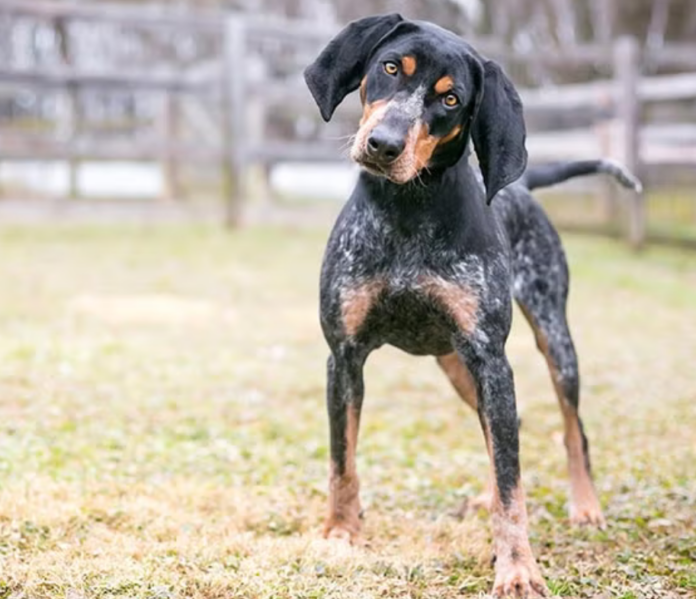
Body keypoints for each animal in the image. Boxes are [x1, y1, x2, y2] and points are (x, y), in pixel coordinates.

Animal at [304, 15, 640, 599]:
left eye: (451, 99)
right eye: (389, 67)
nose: (383, 144)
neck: (407, 210)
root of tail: (524, 185)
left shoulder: (491, 359)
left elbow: (513, 484)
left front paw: (518, 567)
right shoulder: (343, 357)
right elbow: (342, 460)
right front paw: (341, 532)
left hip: (553, 341)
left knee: (569, 429)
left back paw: (585, 506)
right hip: (456, 366)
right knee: (508, 429)